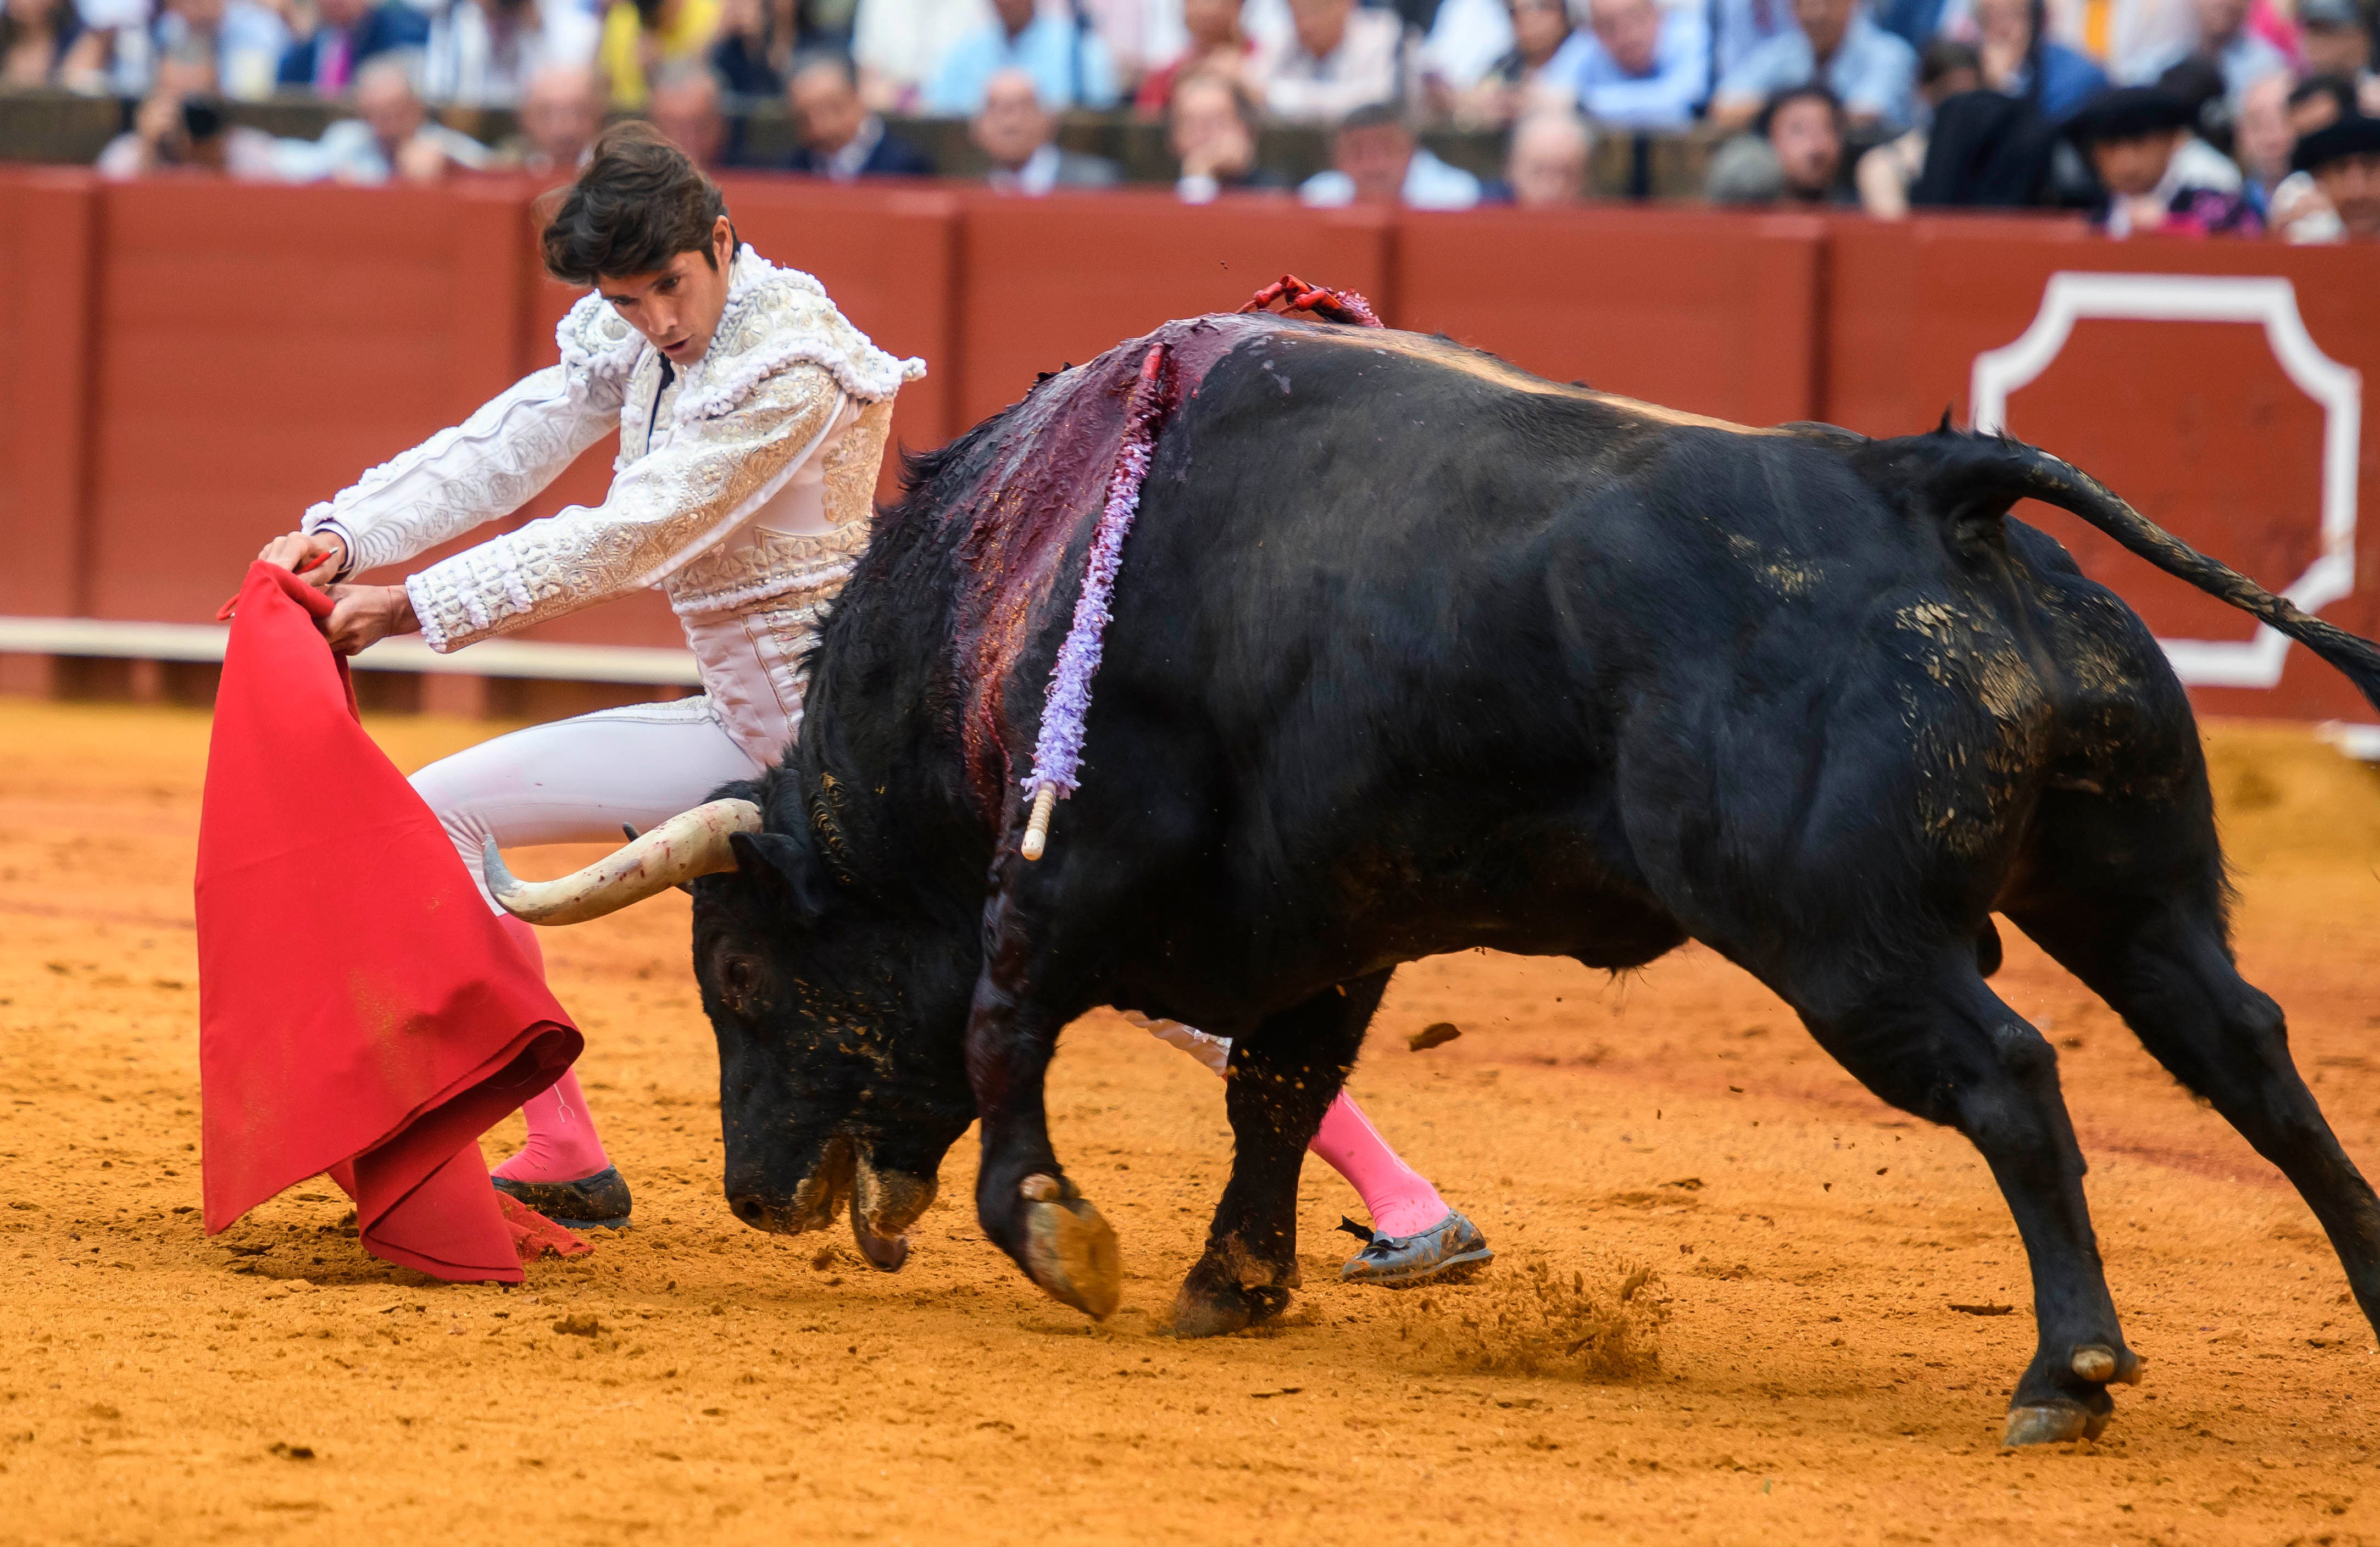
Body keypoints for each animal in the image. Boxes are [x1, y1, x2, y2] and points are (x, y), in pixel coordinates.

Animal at [492, 307, 2380, 1437]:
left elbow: (1005, 1027)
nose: (753, 1191)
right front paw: (1232, 1282)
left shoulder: (1072, 868)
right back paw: (2366, 1287)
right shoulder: (1327, 918)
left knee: (2011, 1077)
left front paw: (1060, 1236)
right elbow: (1274, 1081)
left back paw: (2065, 1369)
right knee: (2250, 1053)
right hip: (2120, 883)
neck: (1016, 589)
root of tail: (1923, 480)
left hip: (1842, 938)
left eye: (740, 976)